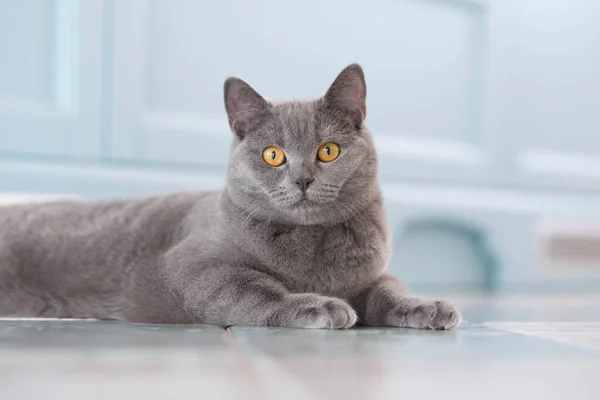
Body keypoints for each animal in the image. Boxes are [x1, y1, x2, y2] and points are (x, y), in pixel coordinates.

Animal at [0, 65, 460, 328]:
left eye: (328, 151)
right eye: (273, 155)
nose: (302, 179)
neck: (315, 250)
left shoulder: (371, 273)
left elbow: (390, 289)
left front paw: (429, 307)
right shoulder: (193, 267)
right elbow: (254, 288)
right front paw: (318, 307)